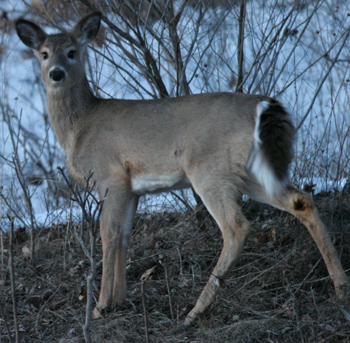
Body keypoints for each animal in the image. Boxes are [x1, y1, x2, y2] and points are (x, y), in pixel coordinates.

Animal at [15, 11, 348, 328]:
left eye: (72, 52)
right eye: (44, 53)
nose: (56, 73)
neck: (79, 127)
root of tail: (263, 107)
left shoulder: (111, 177)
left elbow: (108, 235)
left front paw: (101, 307)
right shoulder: (132, 189)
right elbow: (124, 236)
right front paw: (120, 301)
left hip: (208, 169)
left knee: (236, 227)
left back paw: (195, 312)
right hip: (252, 174)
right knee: (301, 199)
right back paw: (341, 287)